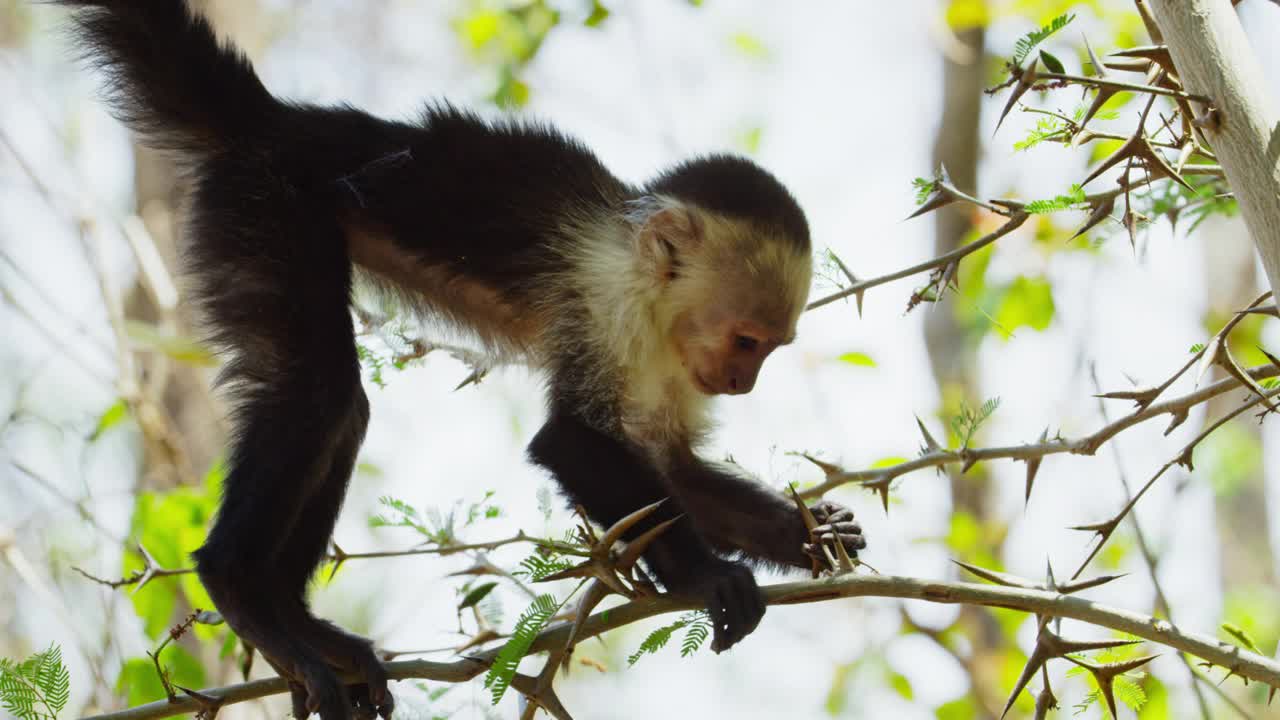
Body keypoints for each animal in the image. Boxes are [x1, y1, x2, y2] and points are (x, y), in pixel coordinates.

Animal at [57, 2, 860, 712]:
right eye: (747, 341)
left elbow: (677, 472)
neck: (650, 288)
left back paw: (303, 627)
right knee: (317, 390)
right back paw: (239, 587)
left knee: (342, 411)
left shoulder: (673, 363)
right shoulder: (610, 308)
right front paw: (705, 577)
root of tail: (277, 122)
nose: (743, 383)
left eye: (769, 350)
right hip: (264, 206)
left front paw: (809, 536)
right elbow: (569, 441)